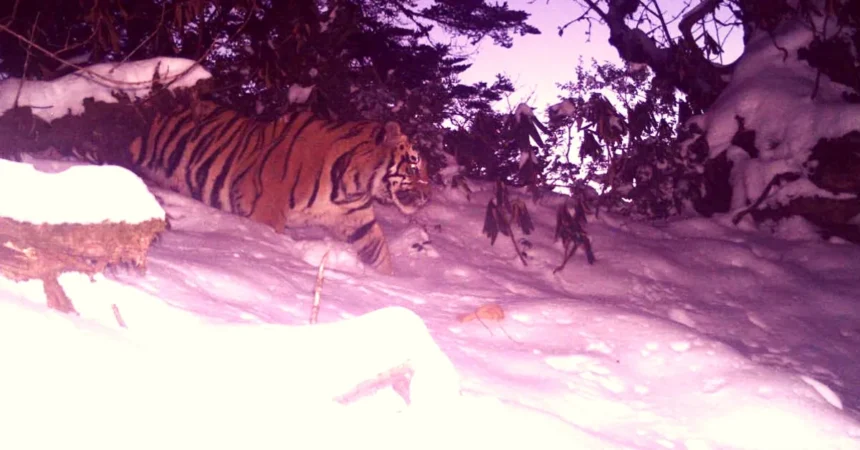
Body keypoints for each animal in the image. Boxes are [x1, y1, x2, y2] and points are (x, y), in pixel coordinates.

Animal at [127, 101, 431, 274]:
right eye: (414, 165)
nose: (428, 197)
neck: (352, 184)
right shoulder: (267, 211)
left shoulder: (358, 220)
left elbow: (379, 253)